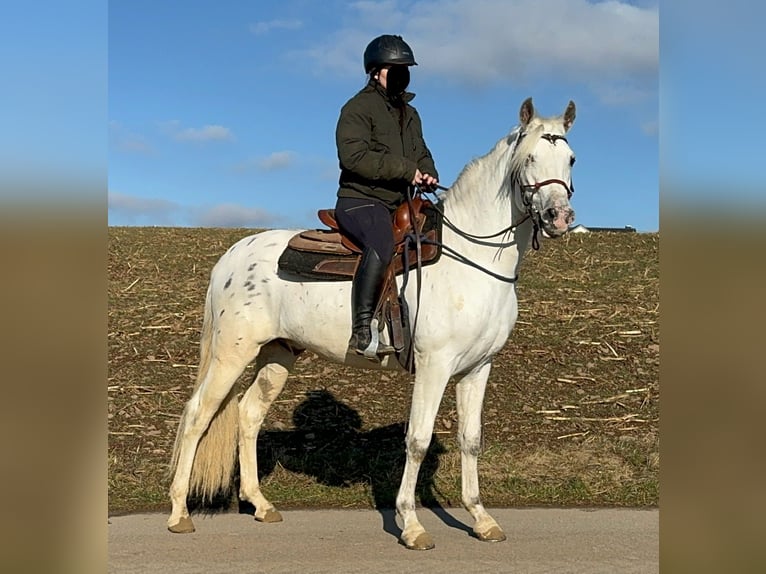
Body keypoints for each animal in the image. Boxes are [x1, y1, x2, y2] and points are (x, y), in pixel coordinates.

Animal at [166, 97, 576, 552]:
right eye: (529, 158)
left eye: (571, 159)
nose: (559, 217)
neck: (472, 259)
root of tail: (232, 256)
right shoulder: (434, 367)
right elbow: (416, 441)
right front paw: (411, 524)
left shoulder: (477, 369)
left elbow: (471, 441)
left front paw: (481, 519)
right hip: (231, 354)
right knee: (197, 414)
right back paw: (179, 512)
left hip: (277, 355)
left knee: (249, 414)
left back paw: (260, 504)